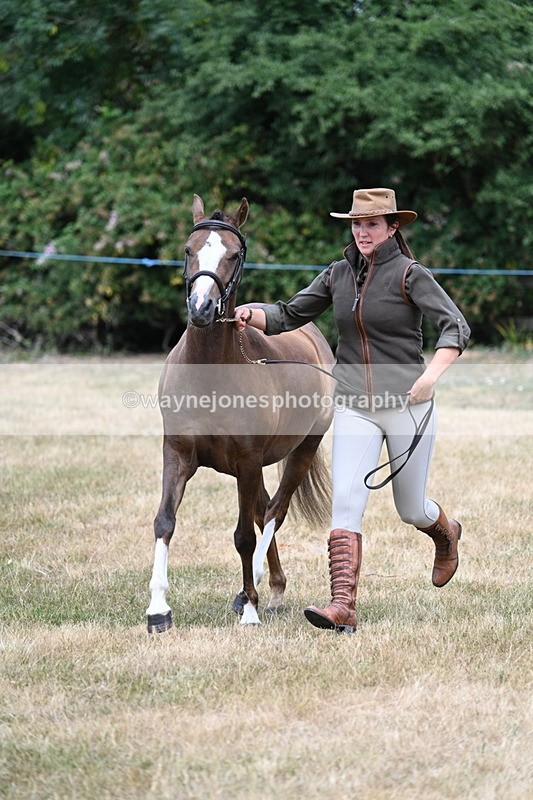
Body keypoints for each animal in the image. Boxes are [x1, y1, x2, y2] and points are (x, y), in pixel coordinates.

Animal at [146, 194, 335, 632]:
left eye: (233, 255)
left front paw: (249, 608)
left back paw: (258, 589)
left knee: (274, 511)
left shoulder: (247, 460)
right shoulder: (177, 454)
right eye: (188, 250)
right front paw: (158, 609)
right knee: (264, 509)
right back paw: (273, 588)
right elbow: (165, 521)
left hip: (299, 451)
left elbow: (244, 537)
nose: (201, 308)